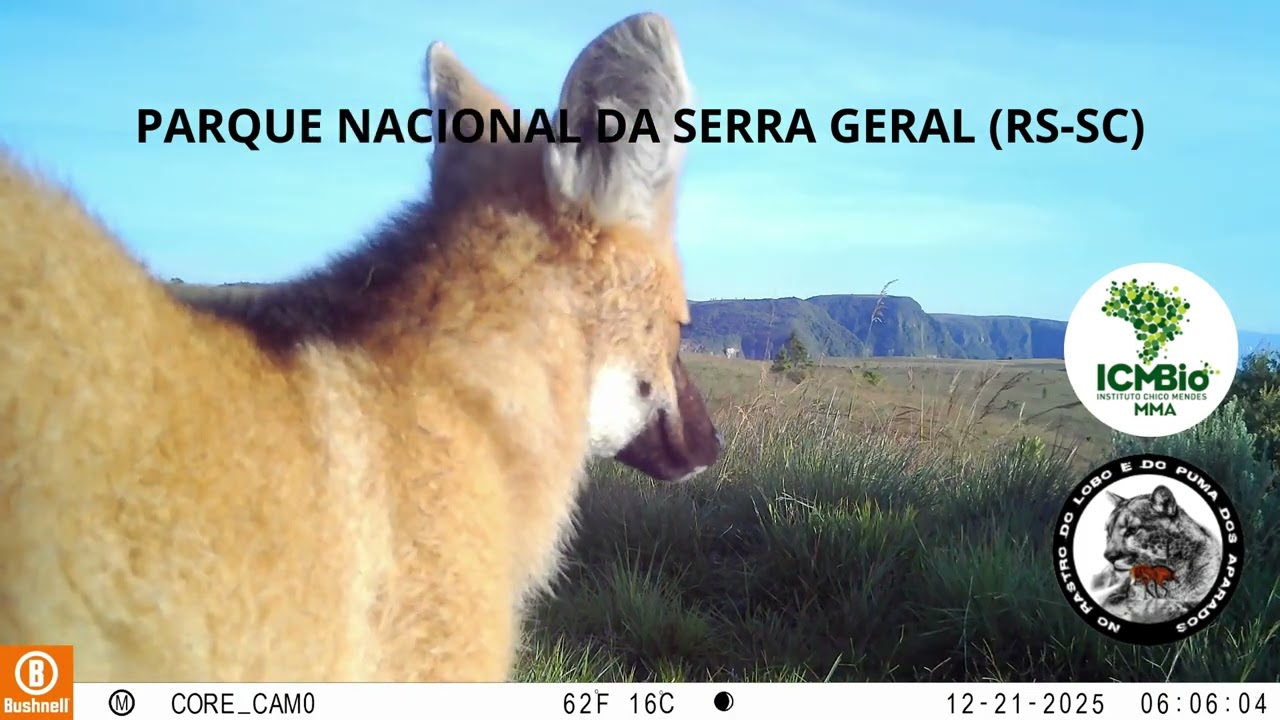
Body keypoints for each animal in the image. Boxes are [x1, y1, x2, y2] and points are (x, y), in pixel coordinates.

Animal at [1088, 485, 1221, 623]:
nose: (1109, 557)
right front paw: (1174, 608)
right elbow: (1138, 603)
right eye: (1108, 532)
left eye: (1132, 529)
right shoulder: (1112, 598)